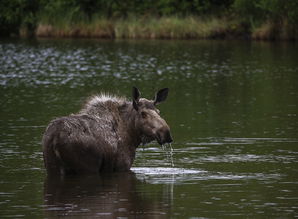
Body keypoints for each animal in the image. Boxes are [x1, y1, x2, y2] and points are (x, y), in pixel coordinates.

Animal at [42, 87, 172, 176]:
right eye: (143, 113)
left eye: (158, 112)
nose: (166, 133)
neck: (133, 136)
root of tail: (54, 139)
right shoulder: (122, 166)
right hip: (86, 168)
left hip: (52, 167)